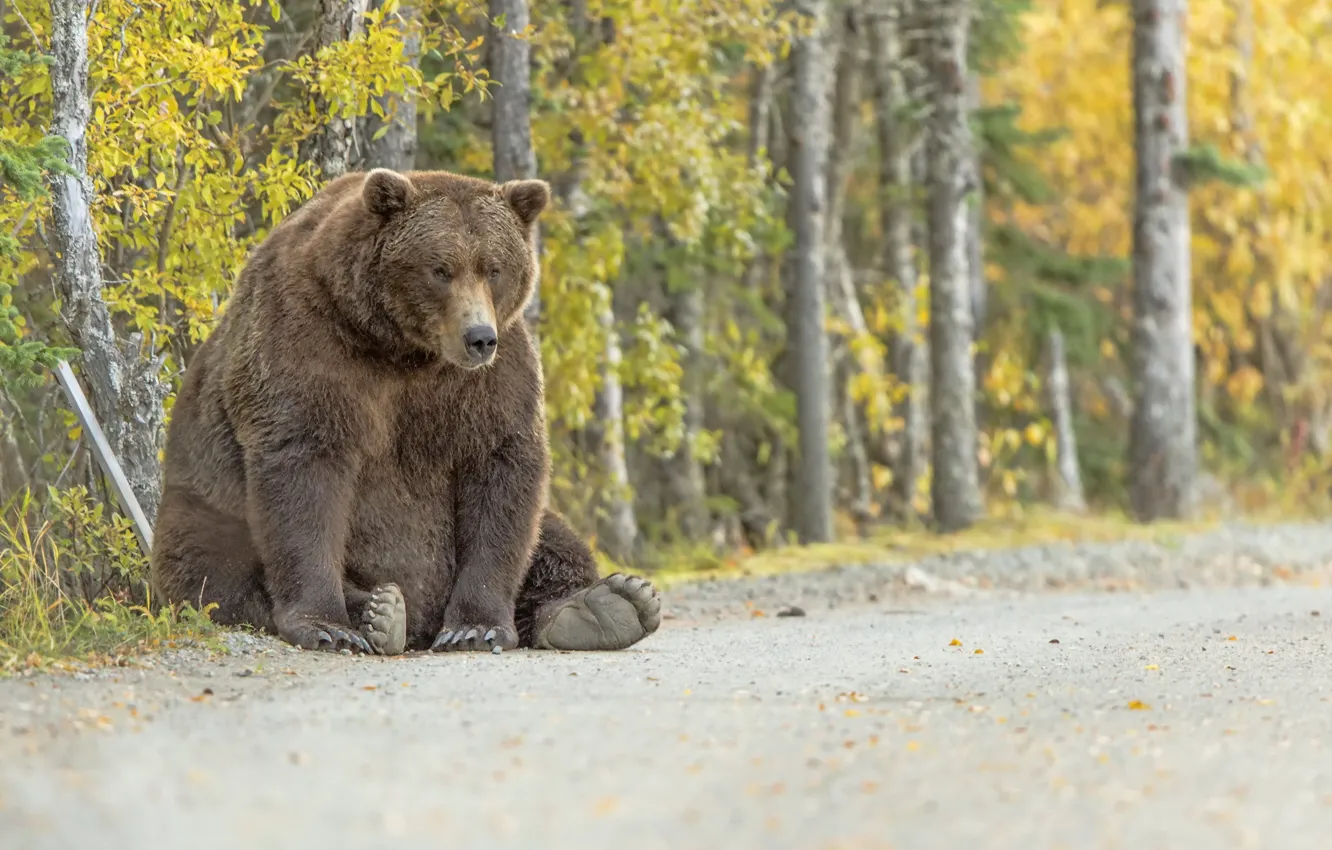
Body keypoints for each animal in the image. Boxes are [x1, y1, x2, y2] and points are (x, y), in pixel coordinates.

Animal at [149, 167, 660, 660]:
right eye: (440, 268)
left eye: (494, 268)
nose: (479, 337)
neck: (403, 349)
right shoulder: (305, 343)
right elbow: (304, 470)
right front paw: (326, 626)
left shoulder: (492, 378)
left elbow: (502, 470)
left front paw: (474, 627)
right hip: (205, 504)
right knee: (216, 567)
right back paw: (381, 611)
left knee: (553, 537)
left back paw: (605, 605)